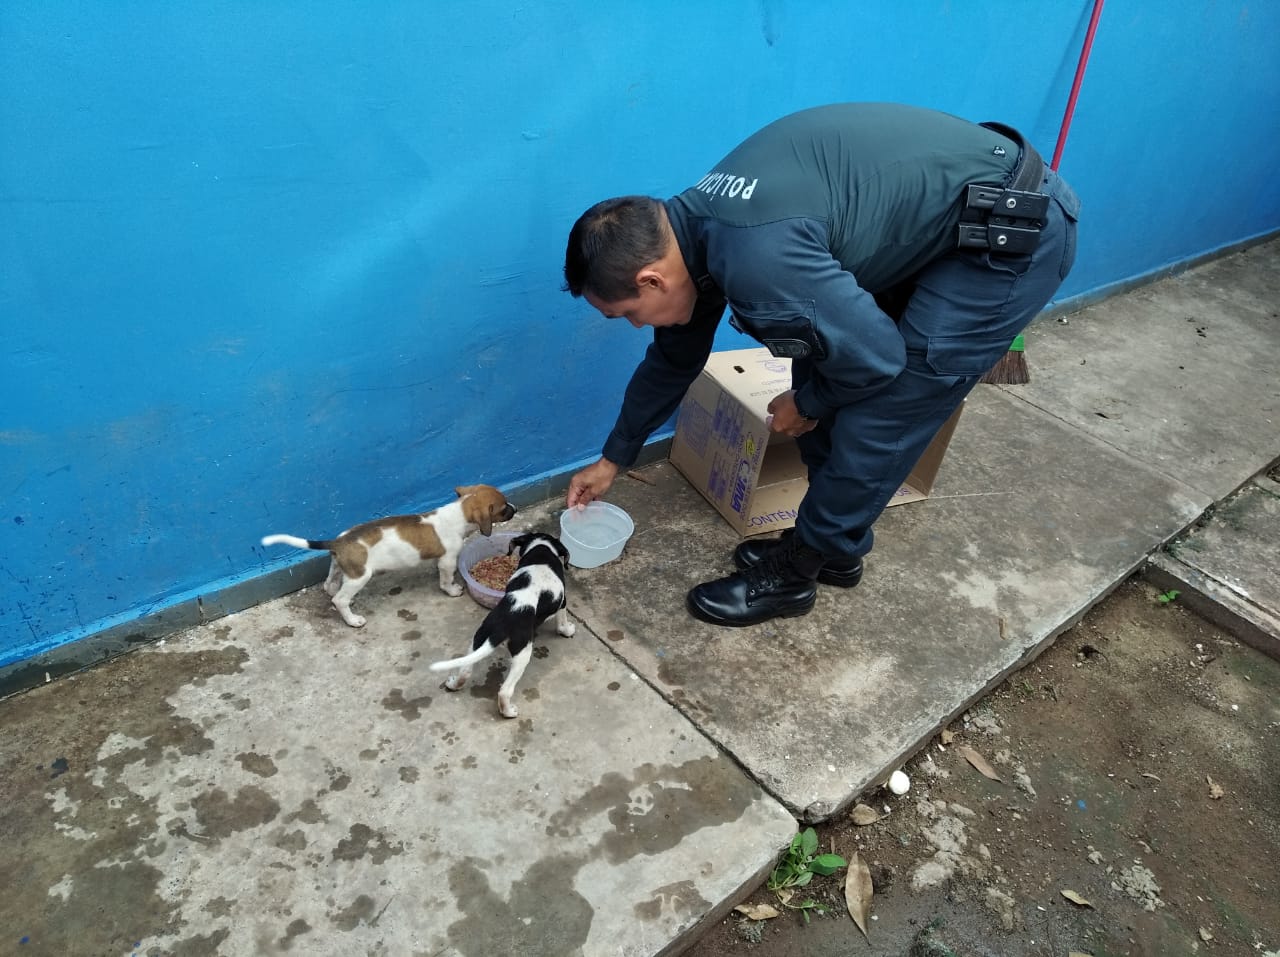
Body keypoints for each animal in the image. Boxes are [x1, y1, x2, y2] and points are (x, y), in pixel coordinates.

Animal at [259, 486, 514, 626]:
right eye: (503, 509)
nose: (514, 509)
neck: (458, 513)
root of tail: (339, 541)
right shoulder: (449, 558)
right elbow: (446, 579)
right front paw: (451, 589)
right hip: (360, 576)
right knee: (338, 599)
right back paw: (352, 620)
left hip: (340, 568)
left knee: (330, 586)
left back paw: (345, 601)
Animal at [427, 529, 573, 716]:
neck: (541, 549)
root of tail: (504, 623)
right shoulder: (562, 602)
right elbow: (562, 622)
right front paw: (568, 630)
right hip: (522, 652)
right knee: (505, 690)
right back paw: (508, 711)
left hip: (478, 637)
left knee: (465, 670)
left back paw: (453, 684)